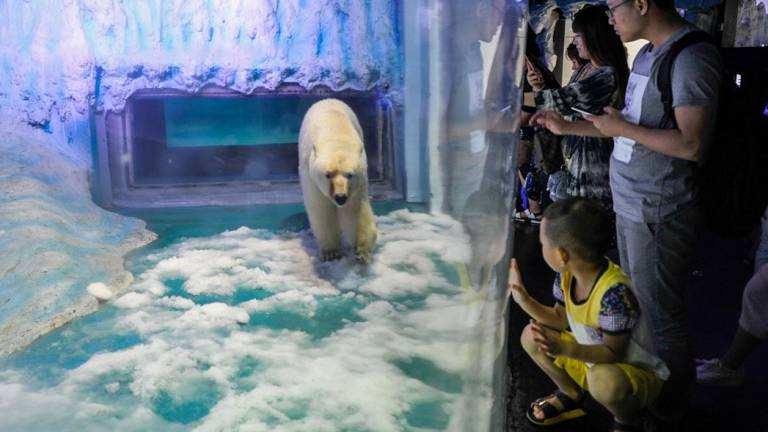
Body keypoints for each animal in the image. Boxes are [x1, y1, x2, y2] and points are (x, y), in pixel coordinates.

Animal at [296, 98, 378, 264]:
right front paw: (331, 252)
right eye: (328, 175)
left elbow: (354, 211)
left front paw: (362, 252)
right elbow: (321, 209)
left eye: (350, 175)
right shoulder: (311, 178)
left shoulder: (358, 183)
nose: (340, 197)